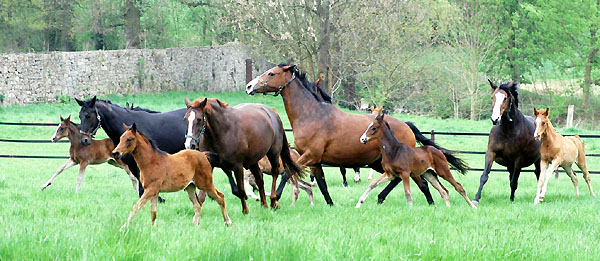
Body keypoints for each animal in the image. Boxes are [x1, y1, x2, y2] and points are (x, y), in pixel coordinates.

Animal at [246, 63, 466, 205]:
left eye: (272, 73)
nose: (249, 86)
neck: (312, 115)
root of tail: (406, 125)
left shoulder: (308, 156)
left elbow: (287, 174)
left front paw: (275, 198)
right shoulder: (315, 160)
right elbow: (322, 184)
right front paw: (330, 204)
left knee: (415, 181)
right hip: (379, 163)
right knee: (410, 181)